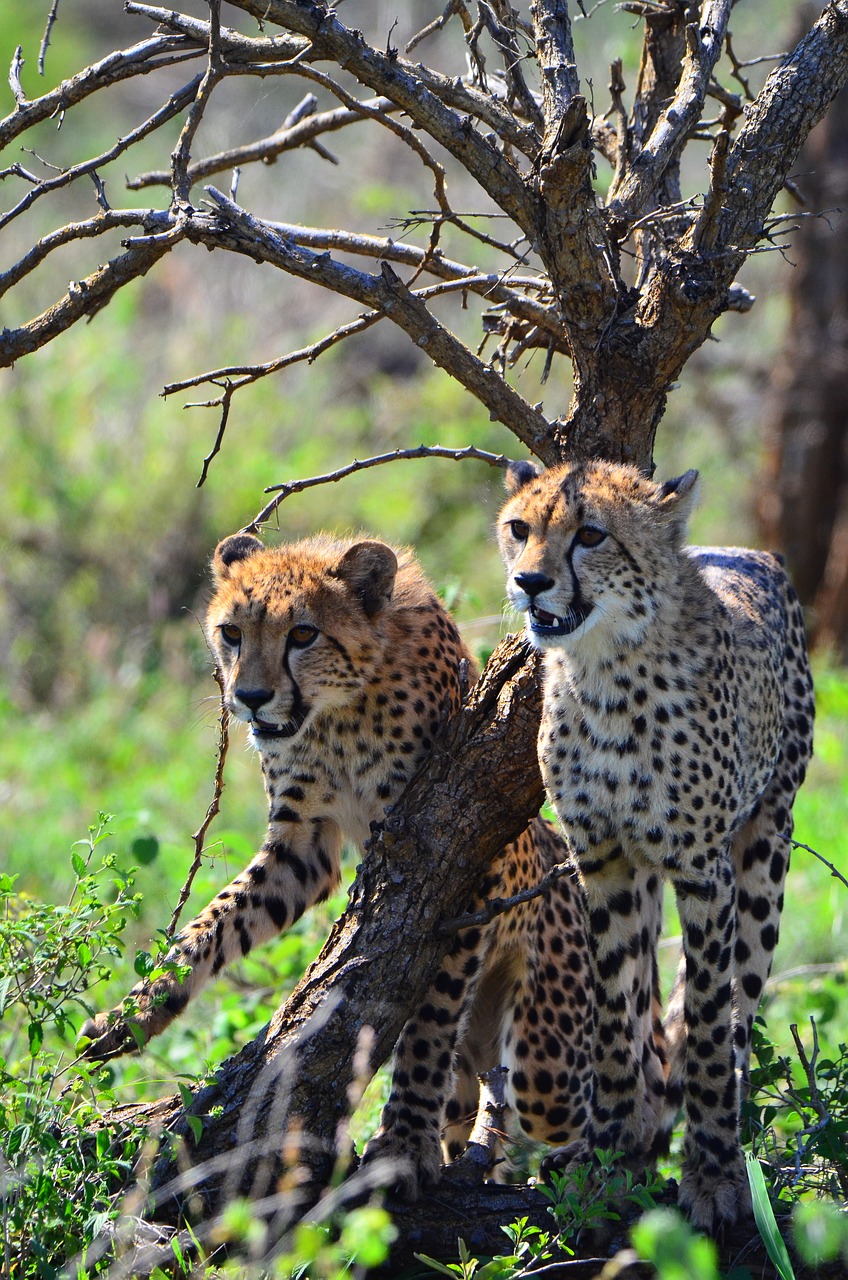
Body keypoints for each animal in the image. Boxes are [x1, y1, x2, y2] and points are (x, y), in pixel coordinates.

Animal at [78, 529, 617, 1198]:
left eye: (303, 634)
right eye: (232, 632)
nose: (249, 698)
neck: (338, 711)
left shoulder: (453, 855)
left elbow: (429, 1022)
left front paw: (403, 1143)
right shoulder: (303, 846)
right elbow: (213, 923)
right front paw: (136, 1011)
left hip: (549, 1061)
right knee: (479, 1097)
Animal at [499, 458, 819, 1228]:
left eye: (590, 535)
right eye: (519, 528)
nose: (529, 581)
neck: (606, 672)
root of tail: (745, 550)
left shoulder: (704, 872)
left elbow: (705, 1021)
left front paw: (714, 1175)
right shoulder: (605, 861)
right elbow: (615, 1016)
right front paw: (606, 1160)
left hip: (766, 846)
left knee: (739, 1008)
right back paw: (637, 1131)